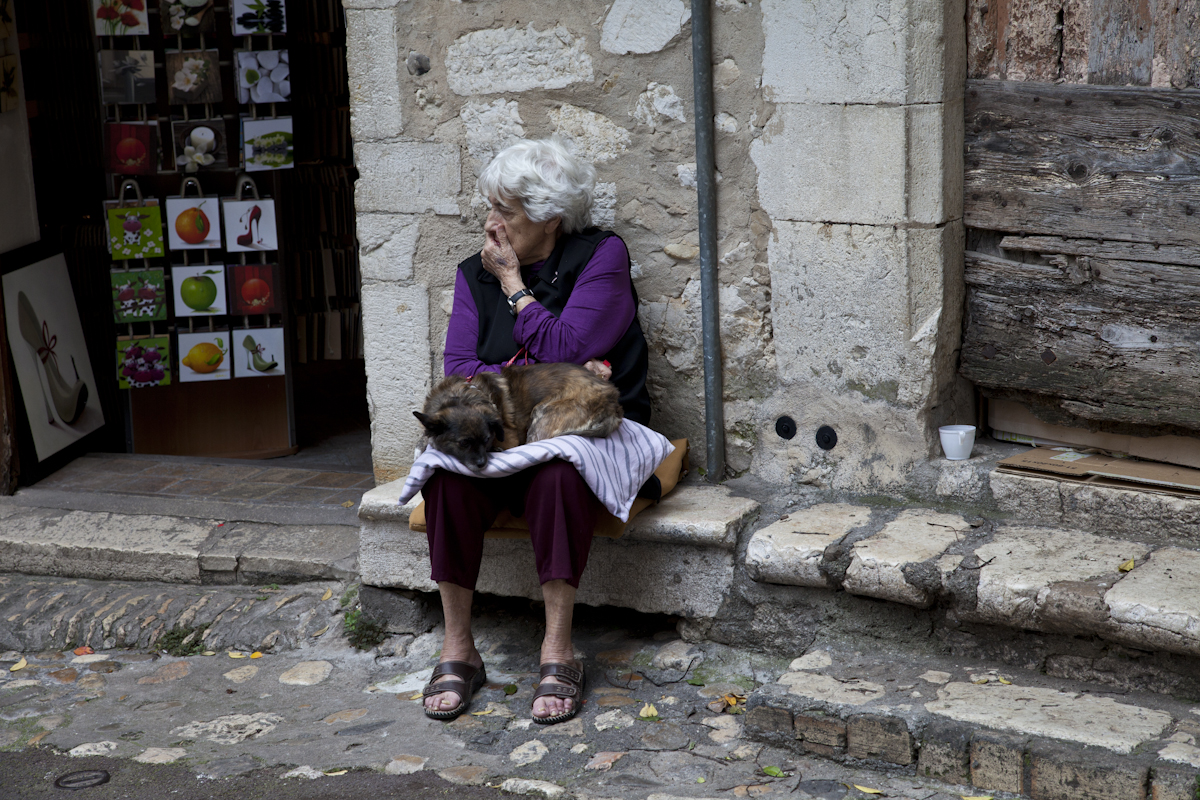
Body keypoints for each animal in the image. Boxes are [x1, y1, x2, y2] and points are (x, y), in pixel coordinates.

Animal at [412, 362, 624, 470]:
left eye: (487, 439)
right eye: (463, 443)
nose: (481, 464)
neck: (463, 396)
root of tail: (613, 402)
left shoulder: (510, 440)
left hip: (542, 416)